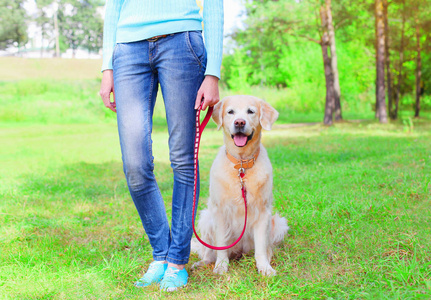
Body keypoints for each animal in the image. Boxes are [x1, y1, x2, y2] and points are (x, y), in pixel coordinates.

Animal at [193, 95, 290, 276]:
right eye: (230, 112)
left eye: (250, 111)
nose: (239, 122)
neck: (242, 164)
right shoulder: (219, 211)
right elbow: (221, 245)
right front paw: (221, 266)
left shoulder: (263, 212)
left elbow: (261, 248)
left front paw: (265, 267)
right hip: (206, 218)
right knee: (207, 251)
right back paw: (203, 262)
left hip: (279, 224)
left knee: (267, 247)